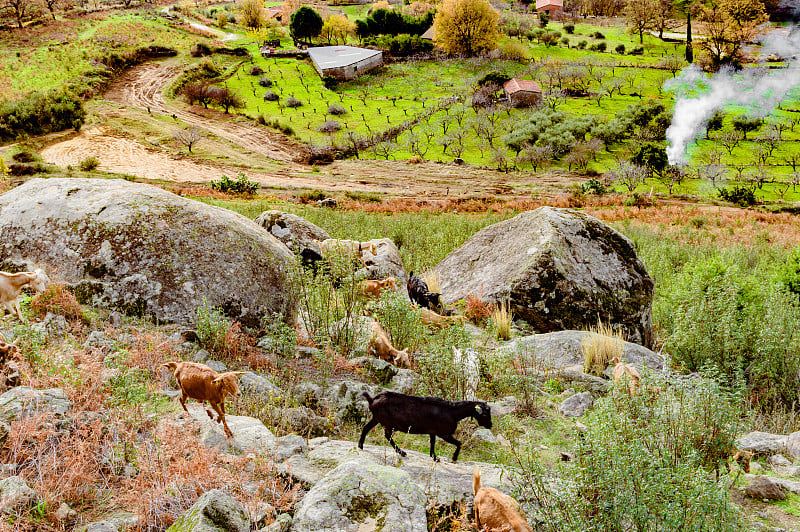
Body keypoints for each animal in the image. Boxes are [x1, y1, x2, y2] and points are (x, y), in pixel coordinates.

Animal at [360, 390, 490, 462]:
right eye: (484, 414)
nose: (490, 425)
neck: (453, 412)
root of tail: (372, 399)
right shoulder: (444, 433)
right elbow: (459, 443)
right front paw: (454, 458)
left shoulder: (433, 431)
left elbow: (432, 443)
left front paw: (434, 457)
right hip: (387, 422)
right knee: (387, 436)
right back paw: (402, 452)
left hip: (376, 418)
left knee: (366, 428)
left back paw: (360, 446)